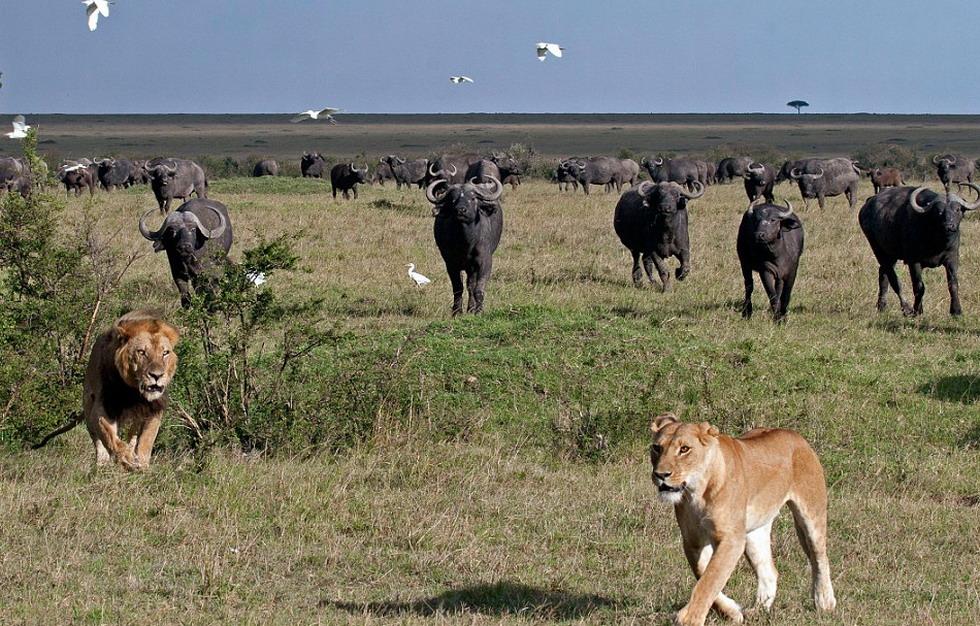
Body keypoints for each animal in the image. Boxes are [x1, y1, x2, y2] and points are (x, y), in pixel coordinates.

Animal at [33, 310, 179, 470]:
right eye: (141, 352)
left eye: (165, 353)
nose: (157, 375)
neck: (134, 392)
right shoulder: (103, 405)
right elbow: (110, 437)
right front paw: (127, 458)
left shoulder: (154, 409)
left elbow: (147, 440)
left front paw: (142, 464)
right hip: (88, 406)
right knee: (99, 442)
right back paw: (102, 466)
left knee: (133, 435)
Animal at [426, 174, 506, 312]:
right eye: (453, 199)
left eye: (473, 198)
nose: (461, 210)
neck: (466, 242)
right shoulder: (450, 263)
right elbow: (458, 288)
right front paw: (457, 311)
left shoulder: (485, 261)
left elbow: (478, 289)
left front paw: (479, 311)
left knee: (471, 285)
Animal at [652, 412, 836, 624]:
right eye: (657, 448)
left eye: (684, 449)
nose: (660, 475)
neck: (695, 492)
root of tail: (795, 435)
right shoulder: (692, 541)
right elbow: (703, 574)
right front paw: (732, 612)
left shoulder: (731, 539)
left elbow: (709, 580)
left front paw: (690, 619)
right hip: (754, 533)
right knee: (769, 572)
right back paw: (757, 612)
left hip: (812, 515)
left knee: (819, 558)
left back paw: (825, 602)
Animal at [856, 183, 980, 314]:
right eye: (939, 211)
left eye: (957, 209)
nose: (949, 226)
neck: (938, 241)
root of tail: (867, 204)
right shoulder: (913, 262)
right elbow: (919, 286)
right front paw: (918, 310)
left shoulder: (952, 258)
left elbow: (953, 284)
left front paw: (956, 310)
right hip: (878, 250)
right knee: (893, 279)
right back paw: (906, 308)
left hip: (890, 254)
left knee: (883, 274)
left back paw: (882, 306)